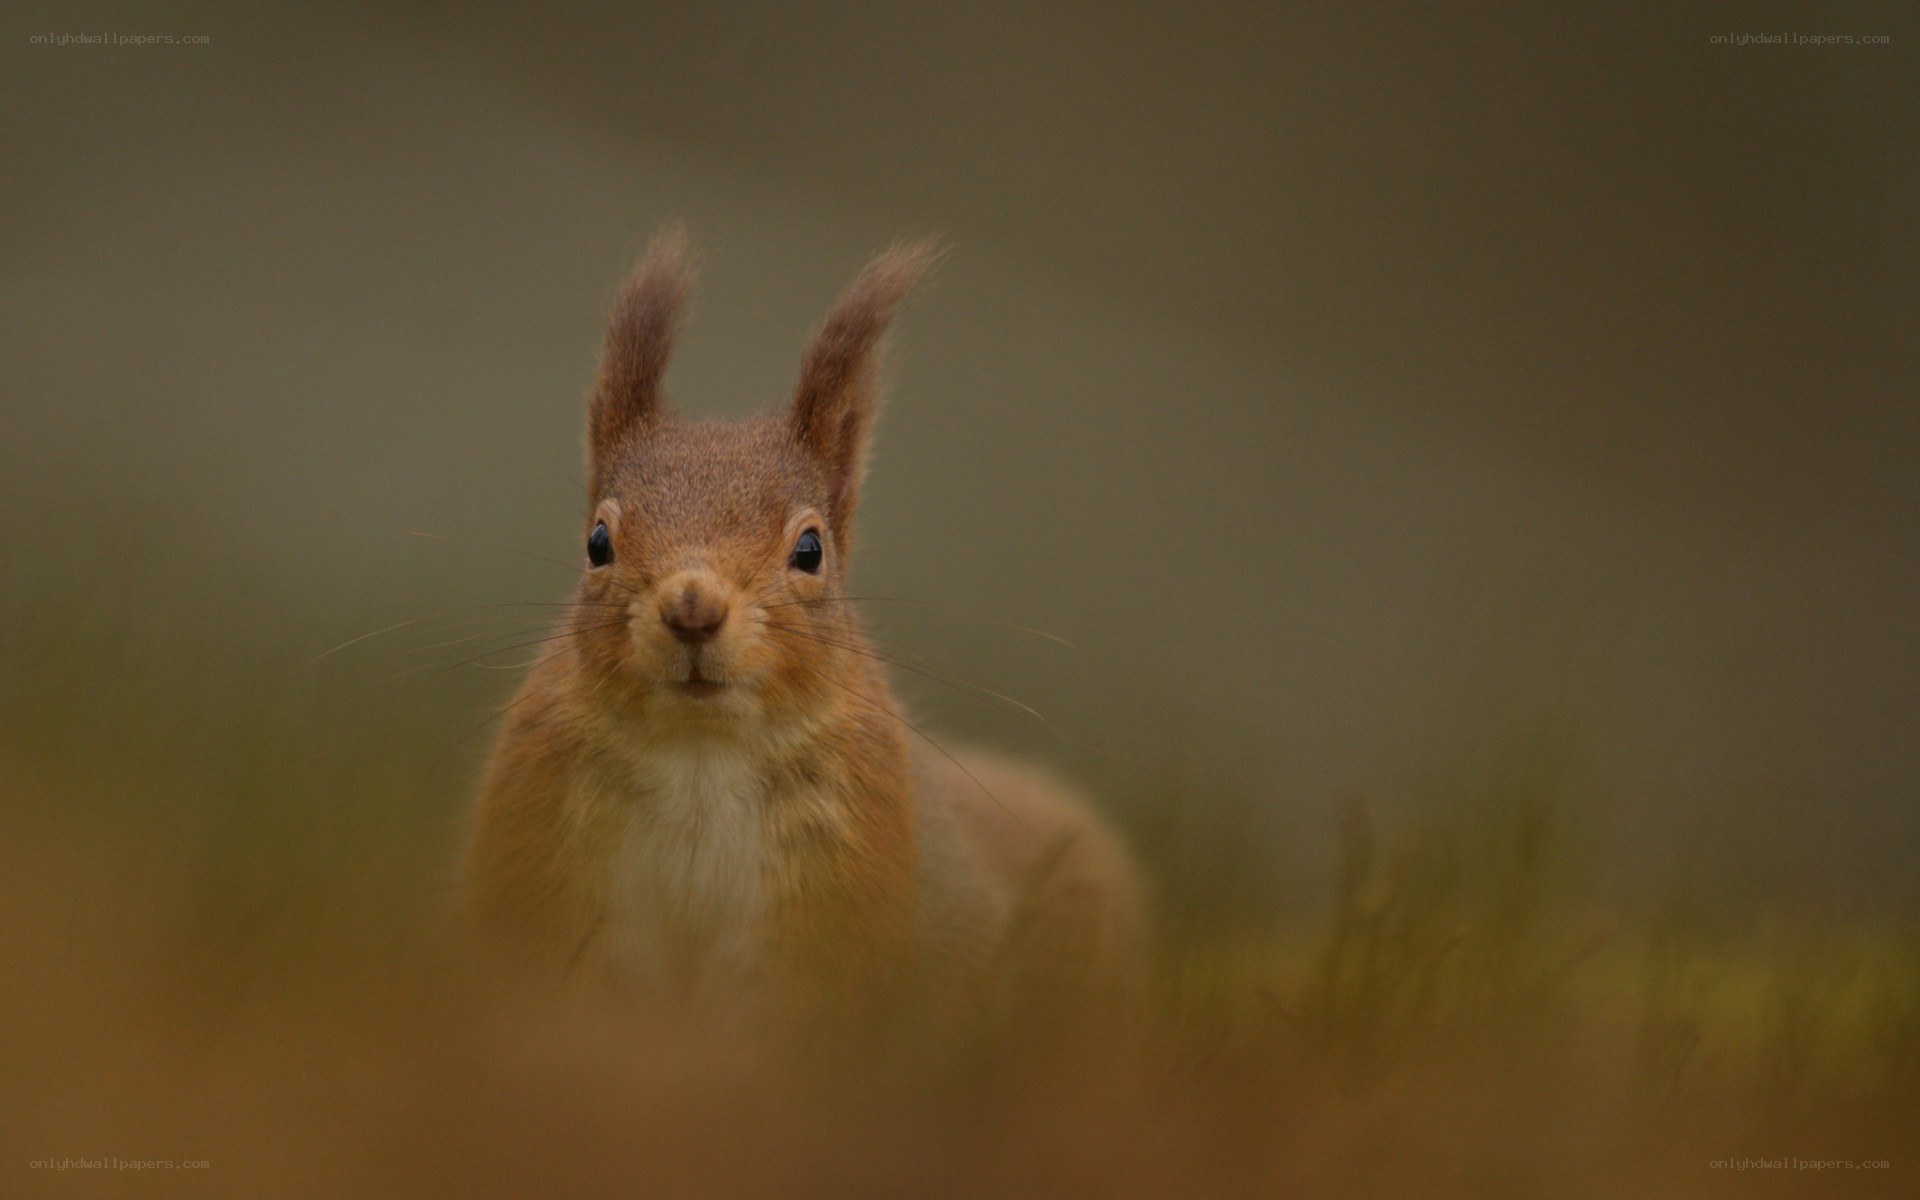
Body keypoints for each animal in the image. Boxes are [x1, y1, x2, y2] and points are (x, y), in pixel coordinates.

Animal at [465, 230, 1146, 1028]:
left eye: (811, 549)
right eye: (597, 542)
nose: (692, 607)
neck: (700, 759)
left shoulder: (836, 891)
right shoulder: (551, 862)